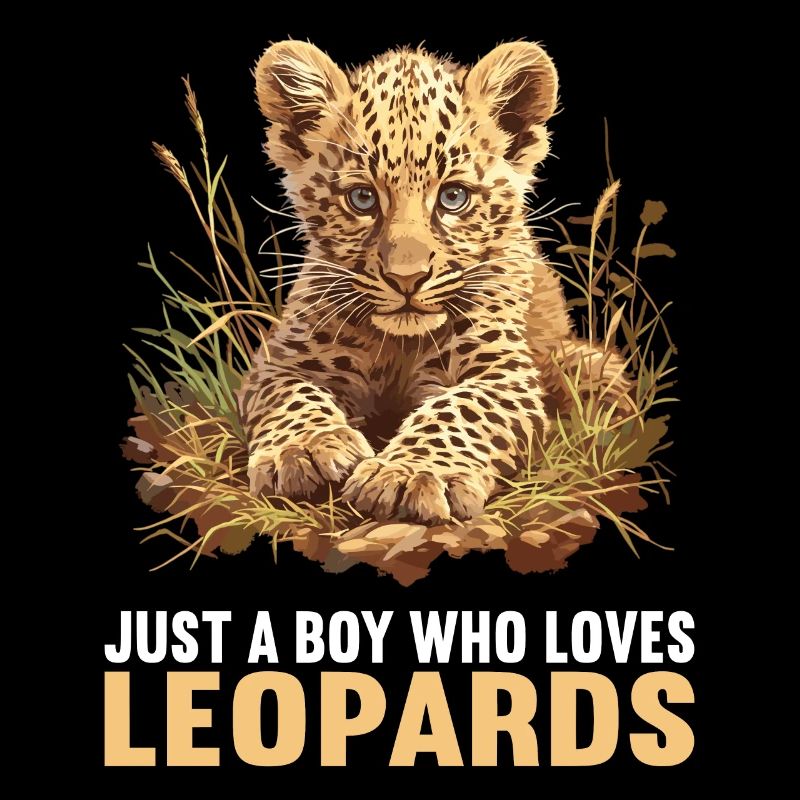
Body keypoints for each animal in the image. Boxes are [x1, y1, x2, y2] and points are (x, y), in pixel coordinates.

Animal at [237, 39, 632, 525]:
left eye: (453, 197)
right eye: (362, 198)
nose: (406, 279)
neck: (398, 346)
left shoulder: (500, 371)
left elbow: (460, 410)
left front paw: (411, 475)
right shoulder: (282, 362)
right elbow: (292, 396)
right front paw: (304, 450)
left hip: (585, 362)